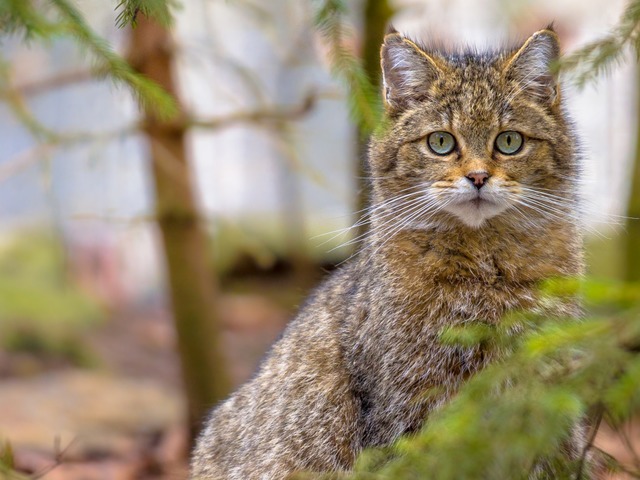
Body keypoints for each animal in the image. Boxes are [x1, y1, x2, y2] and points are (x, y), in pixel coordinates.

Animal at [190, 27, 584, 480]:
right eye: (441, 142)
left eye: (509, 141)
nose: (478, 177)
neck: (486, 267)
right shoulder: (410, 405)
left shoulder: (548, 399)